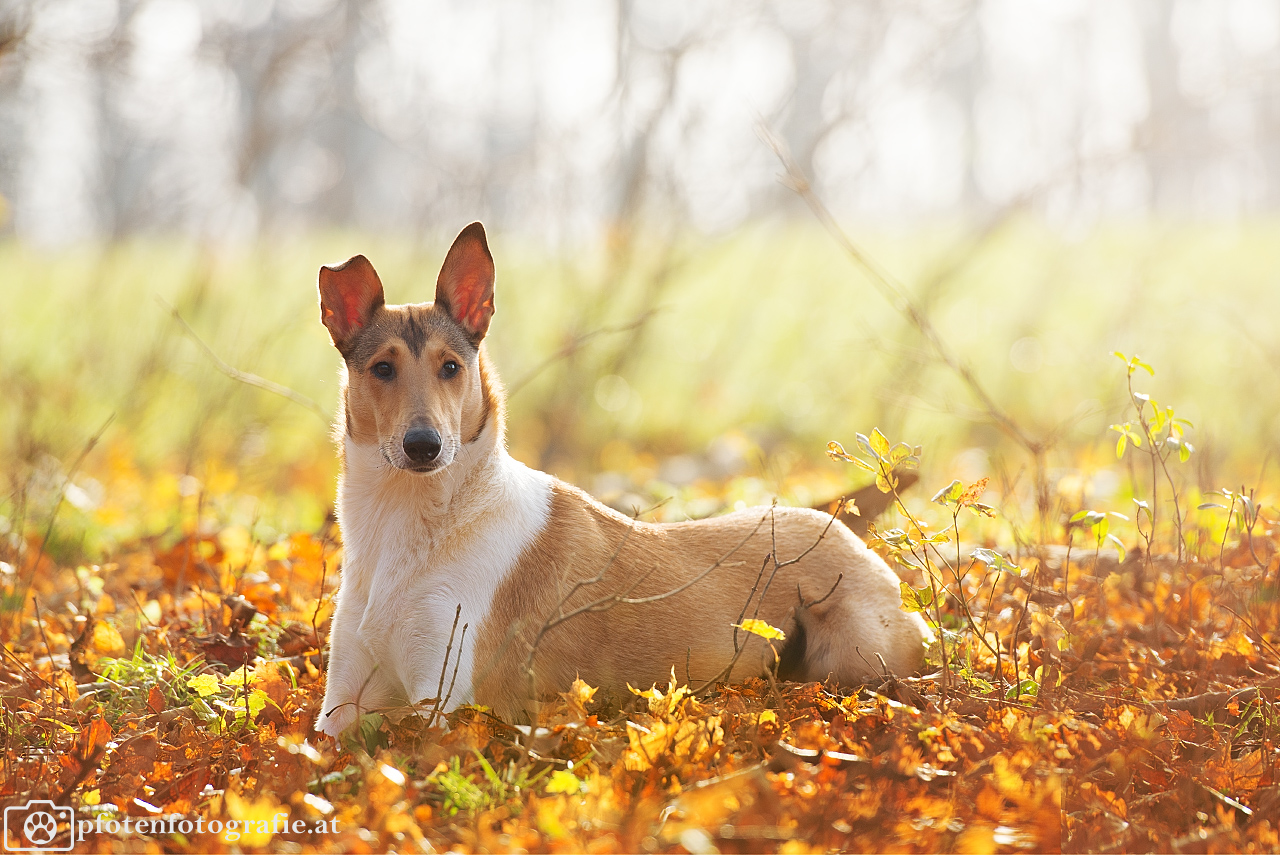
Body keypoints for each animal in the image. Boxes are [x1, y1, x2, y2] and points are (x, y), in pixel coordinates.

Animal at [309, 222, 931, 737]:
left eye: (451, 367)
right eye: (382, 368)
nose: (424, 446)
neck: (411, 523)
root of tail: (838, 526)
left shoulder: (444, 703)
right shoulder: (339, 704)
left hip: (851, 652)